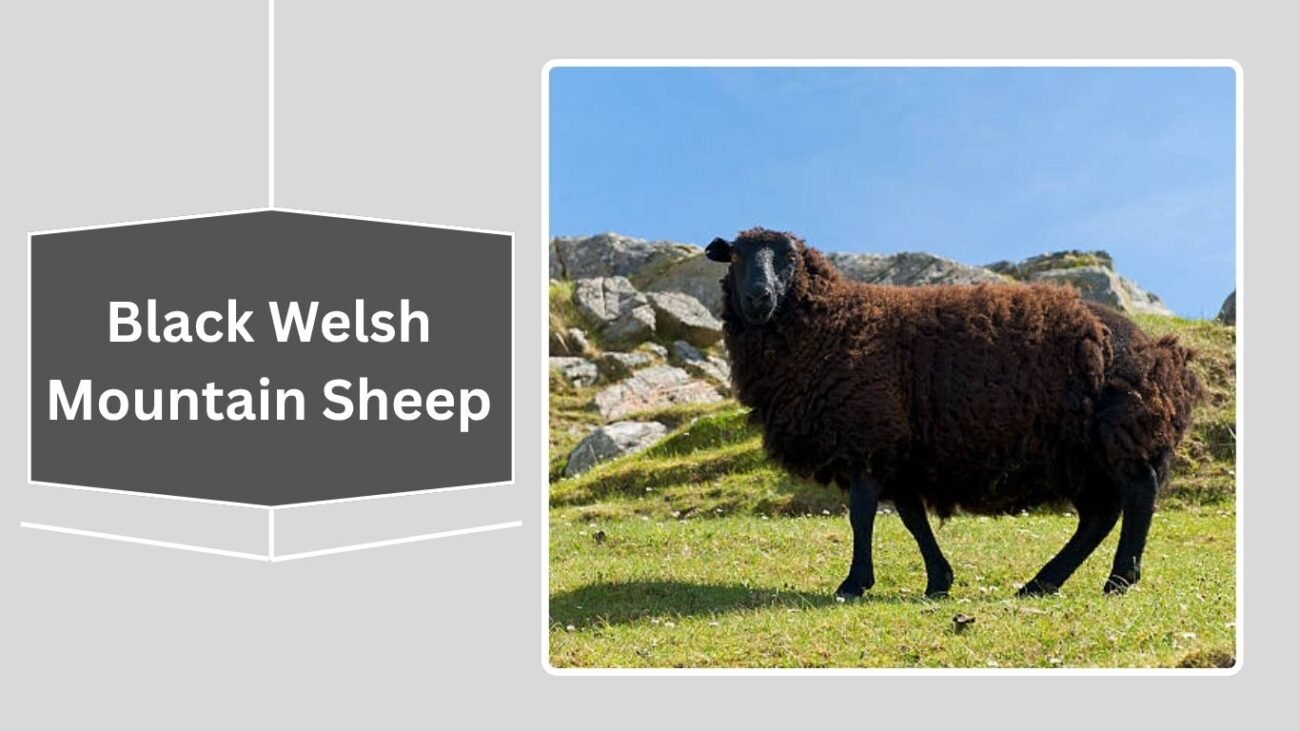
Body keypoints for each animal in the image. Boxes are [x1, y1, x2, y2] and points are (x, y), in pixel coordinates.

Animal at [705, 228, 1204, 598]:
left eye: (788, 257)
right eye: (736, 257)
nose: (759, 296)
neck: (832, 324)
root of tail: (1156, 350)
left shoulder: (870, 435)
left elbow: (862, 515)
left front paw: (855, 583)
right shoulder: (899, 451)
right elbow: (912, 518)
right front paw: (938, 581)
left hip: (1118, 431)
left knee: (1139, 493)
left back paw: (1119, 579)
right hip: (1077, 454)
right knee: (1098, 515)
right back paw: (1043, 583)